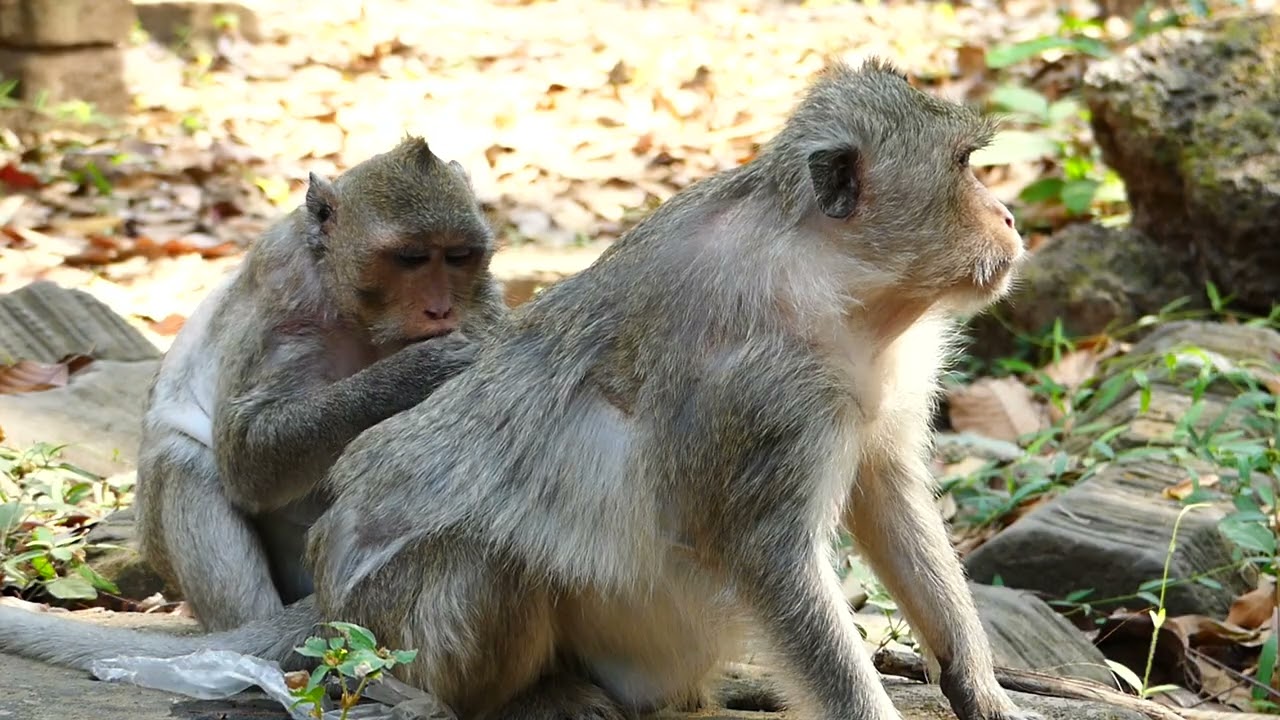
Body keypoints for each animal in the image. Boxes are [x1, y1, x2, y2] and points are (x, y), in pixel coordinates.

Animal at [128, 136, 509, 632]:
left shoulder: (480, 298)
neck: (358, 313)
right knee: (181, 460)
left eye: (459, 256)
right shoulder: (284, 289)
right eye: (411, 259)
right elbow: (246, 454)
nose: (440, 309)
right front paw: (416, 372)